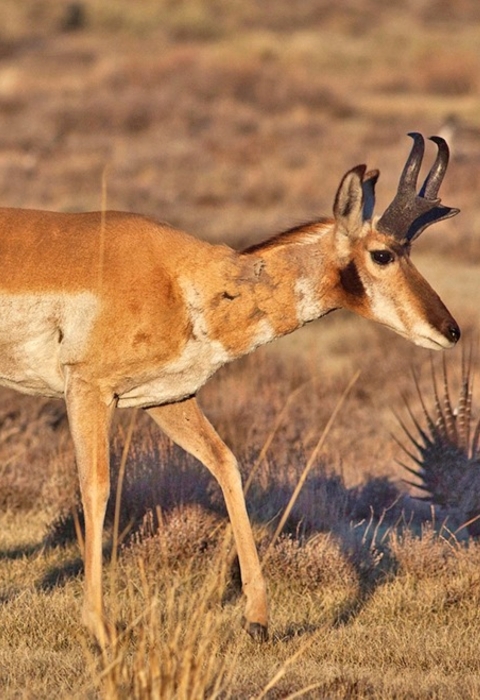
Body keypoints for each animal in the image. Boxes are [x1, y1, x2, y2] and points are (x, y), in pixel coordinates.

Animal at [0, 133, 460, 644]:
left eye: (410, 251)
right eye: (382, 254)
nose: (451, 331)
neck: (185, 280)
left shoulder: (169, 399)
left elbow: (228, 465)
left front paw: (257, 618)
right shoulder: (88, 390)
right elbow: (96, 487)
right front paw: (100, 627)